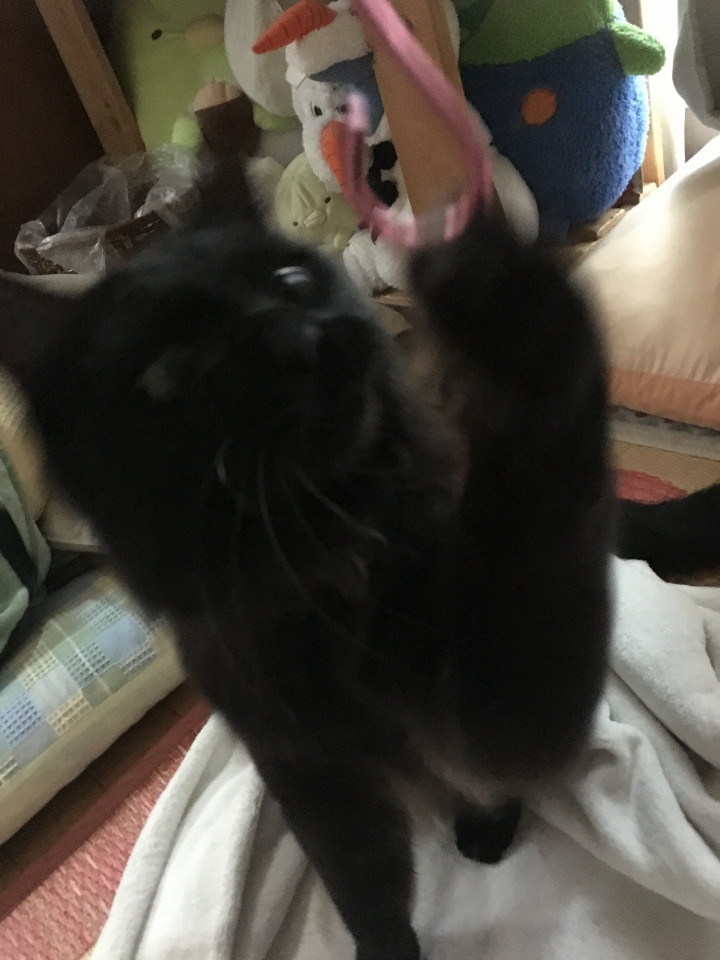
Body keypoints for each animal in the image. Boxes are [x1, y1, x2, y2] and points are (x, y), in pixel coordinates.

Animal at [0, 163, 717, 960]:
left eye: (289, 279)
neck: (328, 578)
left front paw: (502, 297)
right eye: (173, 367)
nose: (299, 338)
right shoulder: (312, 776)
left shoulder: (499, 708)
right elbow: (364, 889)